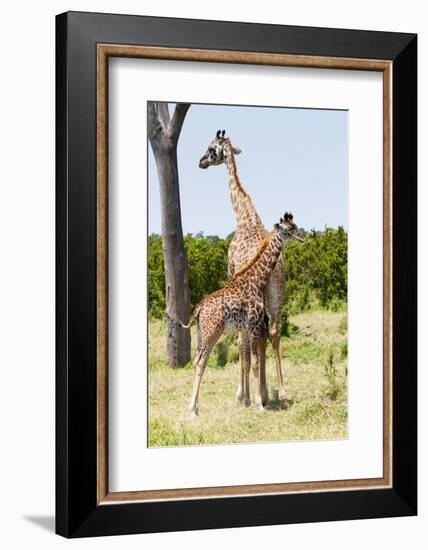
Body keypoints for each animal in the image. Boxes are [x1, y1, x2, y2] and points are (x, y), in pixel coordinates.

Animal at [174, 212, 300, 418]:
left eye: (296, 227)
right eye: (290, 229)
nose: (302, 237)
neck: (257, 280)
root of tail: (198, 309)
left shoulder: (248, 329)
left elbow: (250, 361)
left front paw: (251, 400)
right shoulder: (254, 325)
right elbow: (255, 362)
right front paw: (259, 404)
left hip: (201, 335)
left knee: (195, 362)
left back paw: (196, 406)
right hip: (212, 333)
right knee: (201, 362)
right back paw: (192, 410)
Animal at [200, 130, 288, 410]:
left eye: (210, 148)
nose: (200, 162)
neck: (245, 216)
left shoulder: (231, 276)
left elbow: (241, 342)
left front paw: (243, 394)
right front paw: (260, 392)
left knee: (255, 338)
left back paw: (258, 395)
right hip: (277, 294)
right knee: (273, 333)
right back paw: (279, 392)